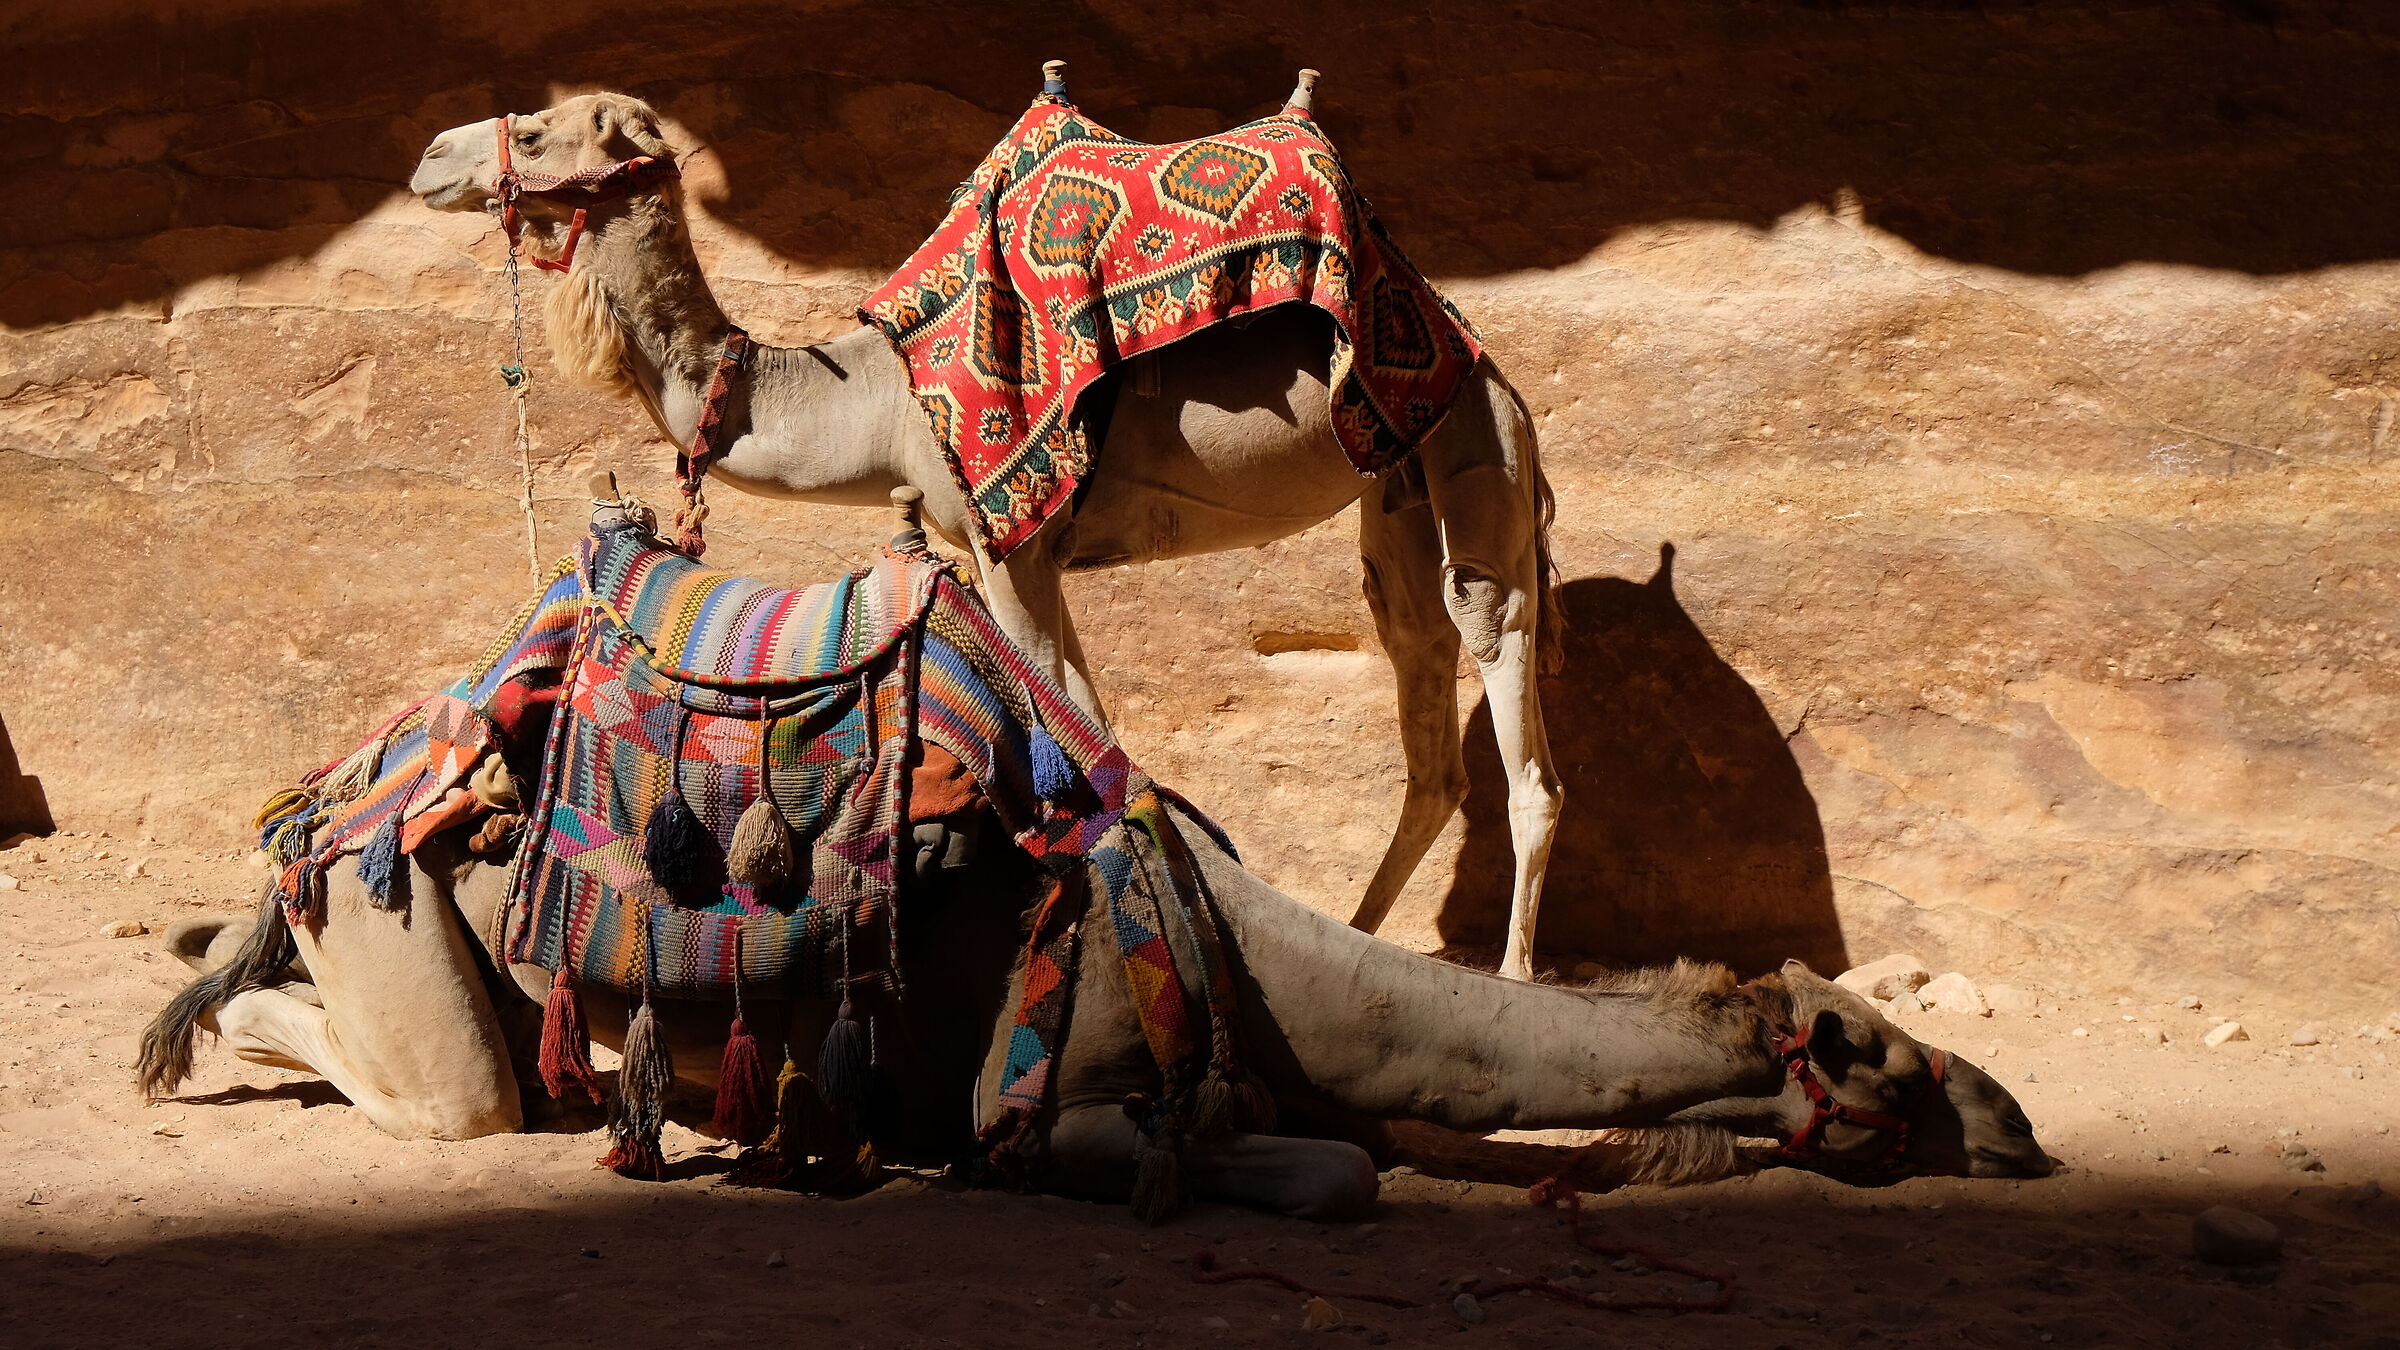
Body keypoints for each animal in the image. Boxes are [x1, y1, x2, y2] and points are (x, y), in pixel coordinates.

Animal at [407, 81, 1566, 980]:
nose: (427, 158)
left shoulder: (1011, 535)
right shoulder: (1005, 544)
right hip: (1396, 492)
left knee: (1503, 674)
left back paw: (1516, 971)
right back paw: (1367, 938)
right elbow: (1088, 712)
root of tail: (1496, 373)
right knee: (1422, 687)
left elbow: (1068, 709)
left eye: (542, 131)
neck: (876, 401)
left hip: (1475, 453)